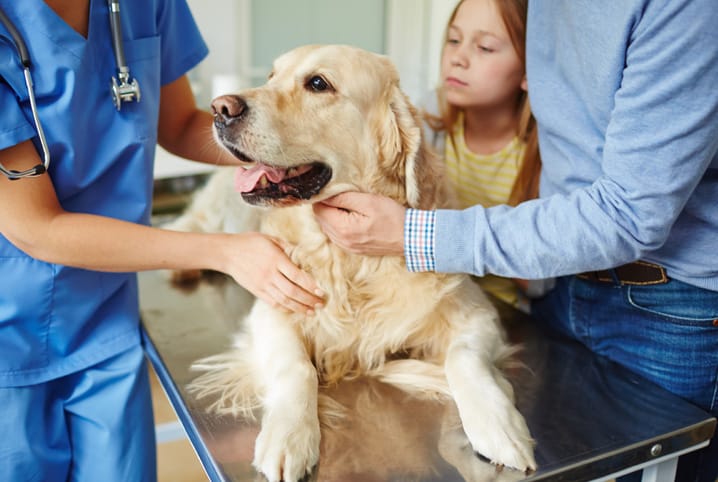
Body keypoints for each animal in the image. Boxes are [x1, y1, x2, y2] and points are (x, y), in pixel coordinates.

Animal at [176, 44, 536, 482]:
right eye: (272, 76)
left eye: (318, 83)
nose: (219, 108)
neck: (349, 262)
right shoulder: (272, 306)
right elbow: (297, 366)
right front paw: (289, 435)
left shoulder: (476, 311)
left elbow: (464, 359)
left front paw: (499, 427)